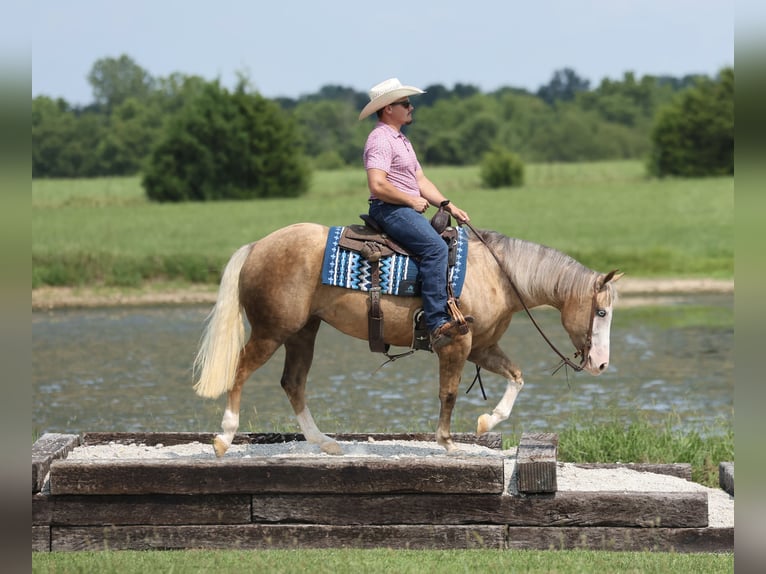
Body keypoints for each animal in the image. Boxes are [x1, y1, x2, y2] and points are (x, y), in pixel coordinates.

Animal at [193, 222, 622, 457]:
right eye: (601, 312)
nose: (601, 364)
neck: (499, 275)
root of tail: (257, 247)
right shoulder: (456, 344)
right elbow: (449, 392)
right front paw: (447, 442)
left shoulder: (482, 347)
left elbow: (516, 377)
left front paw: (486, 422)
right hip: (271, 331)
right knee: (241, 371)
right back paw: (224, 438)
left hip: (303, 332)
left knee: (293, 383)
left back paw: (326, 443)